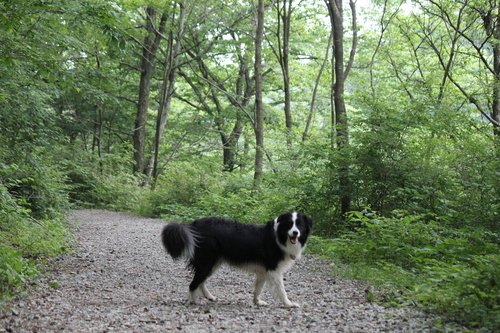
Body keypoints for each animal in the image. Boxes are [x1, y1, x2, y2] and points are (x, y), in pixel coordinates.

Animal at [162, 211, 312, 308]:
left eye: (300, 224)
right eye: (289, 224)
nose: (295, 233)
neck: (278, 237)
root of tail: (193, 225)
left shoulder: (263, 271)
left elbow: (258, 288)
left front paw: (257, 302)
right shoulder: (273, 269)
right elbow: (281, 290)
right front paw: (289, 304)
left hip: (213, 263)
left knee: (200, 281)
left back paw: (209, 296)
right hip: (207, 262)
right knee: (193, 283)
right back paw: (196, 301)